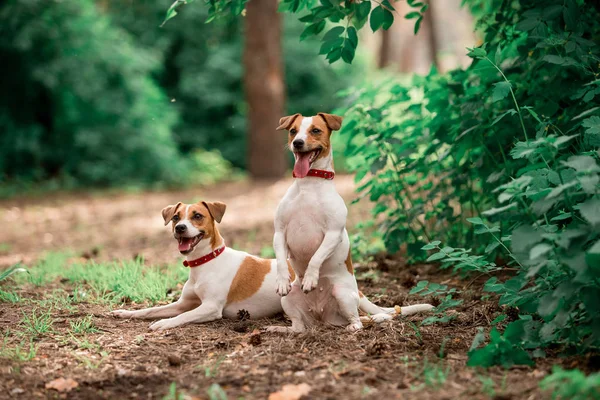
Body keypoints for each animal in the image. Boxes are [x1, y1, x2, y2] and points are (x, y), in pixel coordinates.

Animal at [113, 200, 292, 332]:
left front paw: (164, 322)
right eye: (175, 217)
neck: (205, 261)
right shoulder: (182, 304)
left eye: (198, 216)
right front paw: (126, 312)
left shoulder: (211, 307)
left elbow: (183, 316)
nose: (180, 227)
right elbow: (151, 310)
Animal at [270, 112, 434, 332]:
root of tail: (321, 316)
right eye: (293, 131)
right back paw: (281, 329)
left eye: (316, 130)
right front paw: (281, 281)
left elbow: (316, 257)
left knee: (358, 320)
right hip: (288, 300)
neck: (309, 185)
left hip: (342, 294)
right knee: (299, 327)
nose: (297, 142)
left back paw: (357, 325)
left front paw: (311, 278)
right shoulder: (279, 233)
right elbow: (281, 260)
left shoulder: (333, 233)